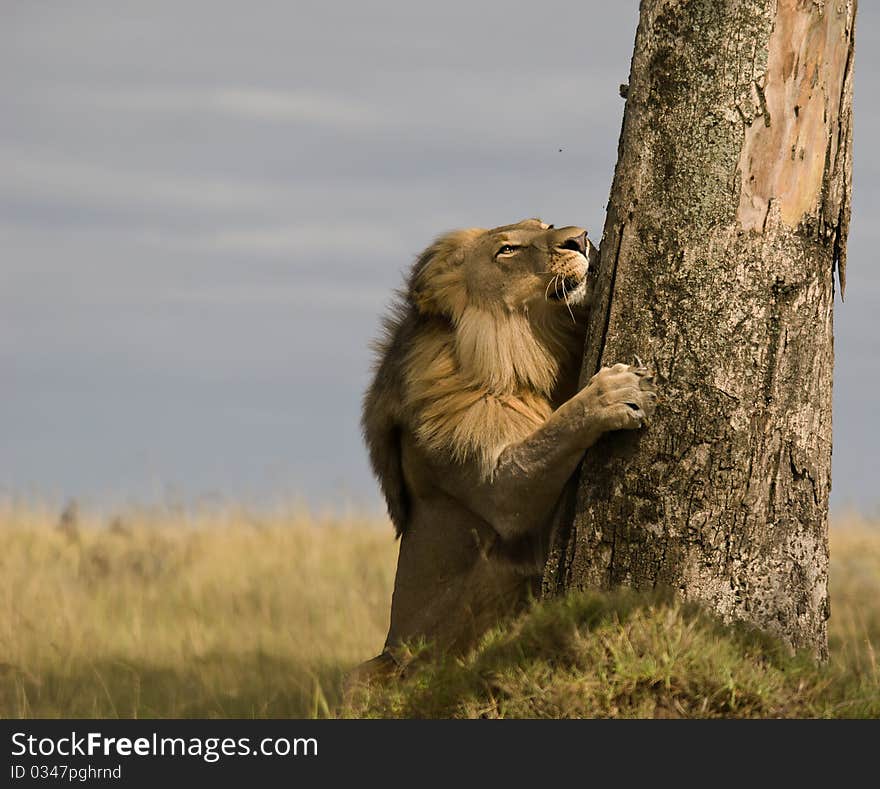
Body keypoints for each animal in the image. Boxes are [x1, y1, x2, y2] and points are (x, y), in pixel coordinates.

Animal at [360, 219, 656, 676]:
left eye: (545, 225)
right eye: (508, 250)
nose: (580, 238)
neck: (523, 350)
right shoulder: (500, 490)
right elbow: (555, 433)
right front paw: (612, 393)